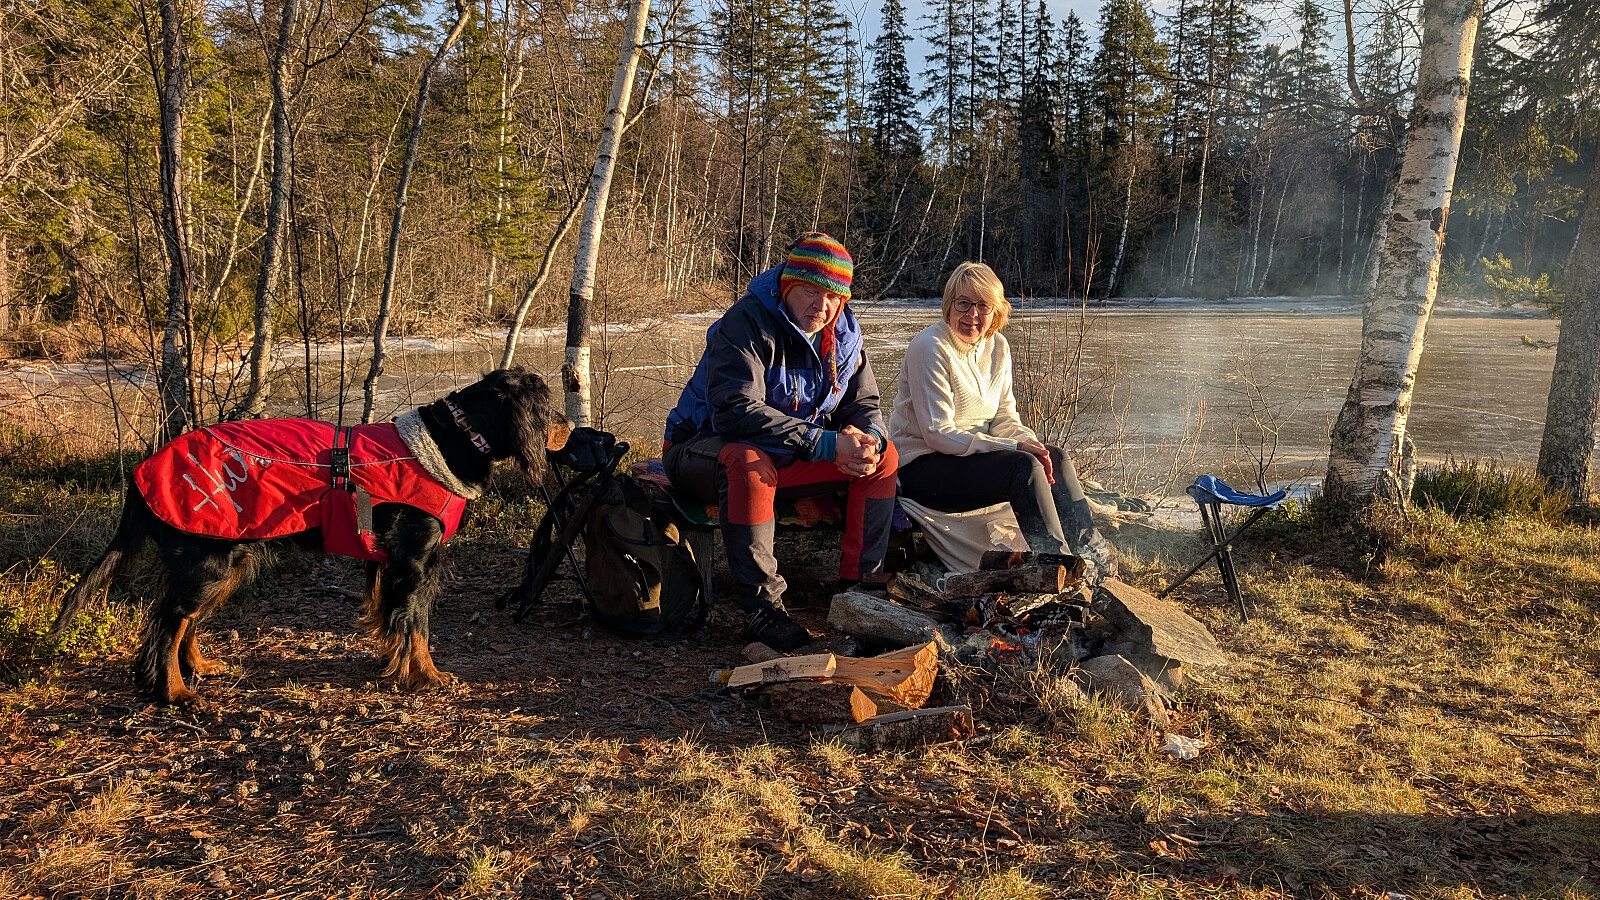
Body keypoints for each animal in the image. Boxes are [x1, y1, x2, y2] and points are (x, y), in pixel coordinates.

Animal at [49, 367, 567, 707]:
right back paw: (173, 691)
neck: (449, 440)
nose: (570, 426)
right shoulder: (415, 561)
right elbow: (414, 623)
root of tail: (144, 472)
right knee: (168, 620)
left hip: (227, 561)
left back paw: (196, 669)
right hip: (209, 560)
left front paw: (393, 664)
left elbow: (390, 618)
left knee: (183, 620)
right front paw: (427, 675)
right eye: (546, 405)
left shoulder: (383, 561)